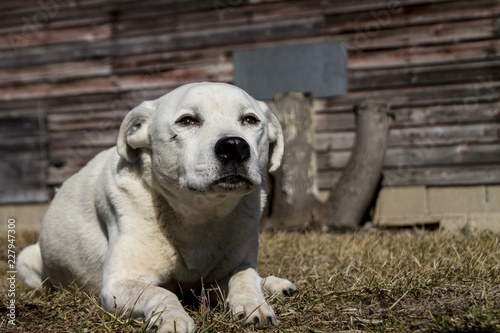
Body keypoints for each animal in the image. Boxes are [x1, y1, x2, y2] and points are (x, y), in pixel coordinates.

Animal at [17, 81, 296, 330]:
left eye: (250, 120)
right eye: (187, 121)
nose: (235, 146)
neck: (198, 213)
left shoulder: (230, 269)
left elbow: (245, 276)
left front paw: (253, 305)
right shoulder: (120, 283)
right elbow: (160, 293)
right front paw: (172, 318)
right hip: (26, 260)